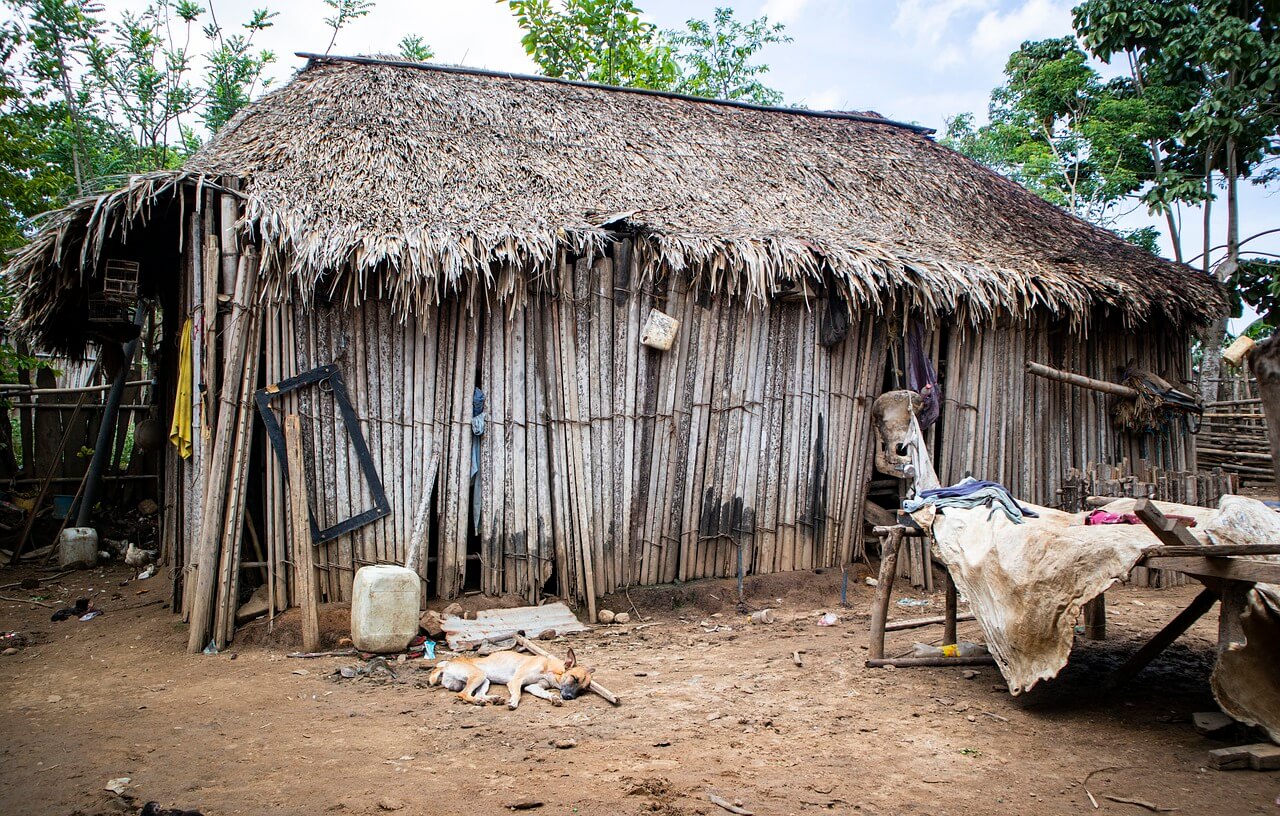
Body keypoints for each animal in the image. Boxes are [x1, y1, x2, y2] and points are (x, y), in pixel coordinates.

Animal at [427, 649, 591, 711]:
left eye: (583, 689)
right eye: (574, 678)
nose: (569, 697)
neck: (550, 668)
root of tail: (446, 665)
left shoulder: (533, 687)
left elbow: (546, 693)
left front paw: (554, 697)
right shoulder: (516, 681)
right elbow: (517, 693)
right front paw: (513, 702)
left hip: (485, 680)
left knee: (477, 693)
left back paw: (492, 699)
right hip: (479, 675)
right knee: (463, 694)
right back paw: (480, 701)